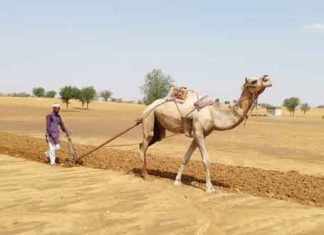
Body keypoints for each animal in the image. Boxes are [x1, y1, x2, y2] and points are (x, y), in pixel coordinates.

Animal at [138, 75, 272, 193]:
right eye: (254, 81)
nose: (268, 80)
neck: (214, 114)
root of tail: (147, 107)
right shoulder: (198, 132)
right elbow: (206, 160)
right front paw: (209, 188)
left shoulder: (200, 134)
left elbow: (186, 157)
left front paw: (177, 181)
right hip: (149, 118)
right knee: (143, 145)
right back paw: (145, 175)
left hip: (159, 130)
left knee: (143, 145)